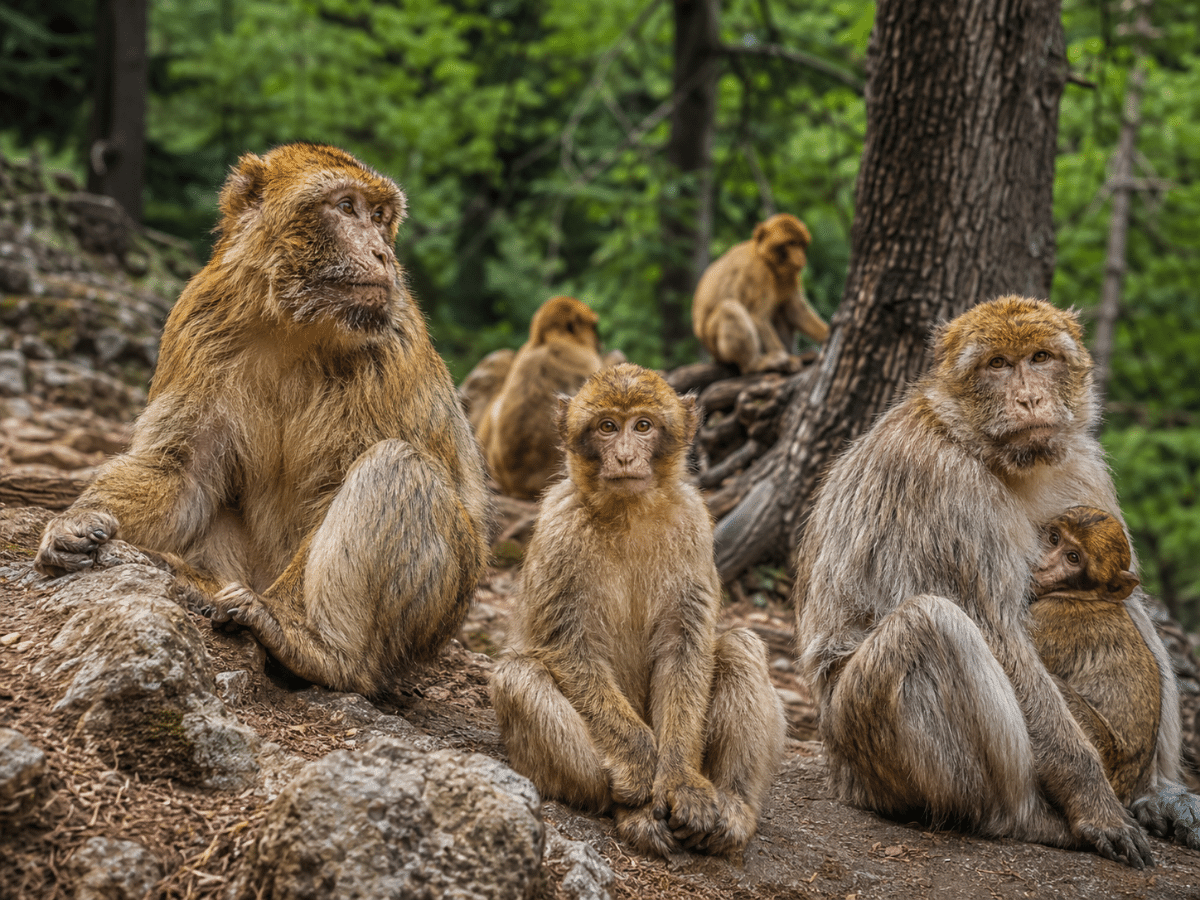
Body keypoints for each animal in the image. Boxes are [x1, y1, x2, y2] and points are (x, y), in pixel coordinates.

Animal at [34, 143, 489, 696]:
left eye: (380, 218)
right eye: (346, 207)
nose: (383, 255)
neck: (291, 324)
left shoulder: (392, 340)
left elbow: (341, 484)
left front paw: (290, 626)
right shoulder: (199, 318)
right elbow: (179, 469)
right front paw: (73, 522)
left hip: (440, 609)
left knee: (397, 464)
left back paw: (324, 651)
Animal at [489, 363, 785, 859]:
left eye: (642, 426)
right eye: (608, 427)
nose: (626, 457)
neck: (628, 512)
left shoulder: (693, 523)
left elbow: (685, 646)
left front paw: (681, 780)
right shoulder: (558, 525)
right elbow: (572, 649)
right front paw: (643, 763)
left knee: (740, 647)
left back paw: (734, 808)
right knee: (517, 674)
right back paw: (634, 810)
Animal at [691, 213, 829, 374]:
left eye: (800, 244)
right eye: (790, 243)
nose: (801, 257)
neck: (769, 263)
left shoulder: (792, 275)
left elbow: (796, 311)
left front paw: (829, 334)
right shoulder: (757, 272)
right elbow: (758, 317)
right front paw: (789, 360)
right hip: (715, 346)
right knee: (730, 308)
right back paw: (755, 364)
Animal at [1027, 506, 1158, 805]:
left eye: (1073, 558)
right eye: (1054, 539)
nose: (1041, 564)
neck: (1083, 596)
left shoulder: (1049, 618)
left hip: (1100, 747)